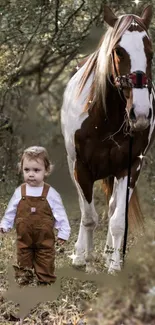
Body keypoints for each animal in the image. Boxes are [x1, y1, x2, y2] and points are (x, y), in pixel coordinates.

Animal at [60, 5, 155, 274]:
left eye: (150, 51)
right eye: (118, 51)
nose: (140, 114)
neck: (104, 116)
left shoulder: (130, 167)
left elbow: (117, 219)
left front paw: (113, 265)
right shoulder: (81, 168)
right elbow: (89, 217)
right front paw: (85, 259)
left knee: (112, 208)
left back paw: (108, 254)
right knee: (87, 210)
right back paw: (81, 254)